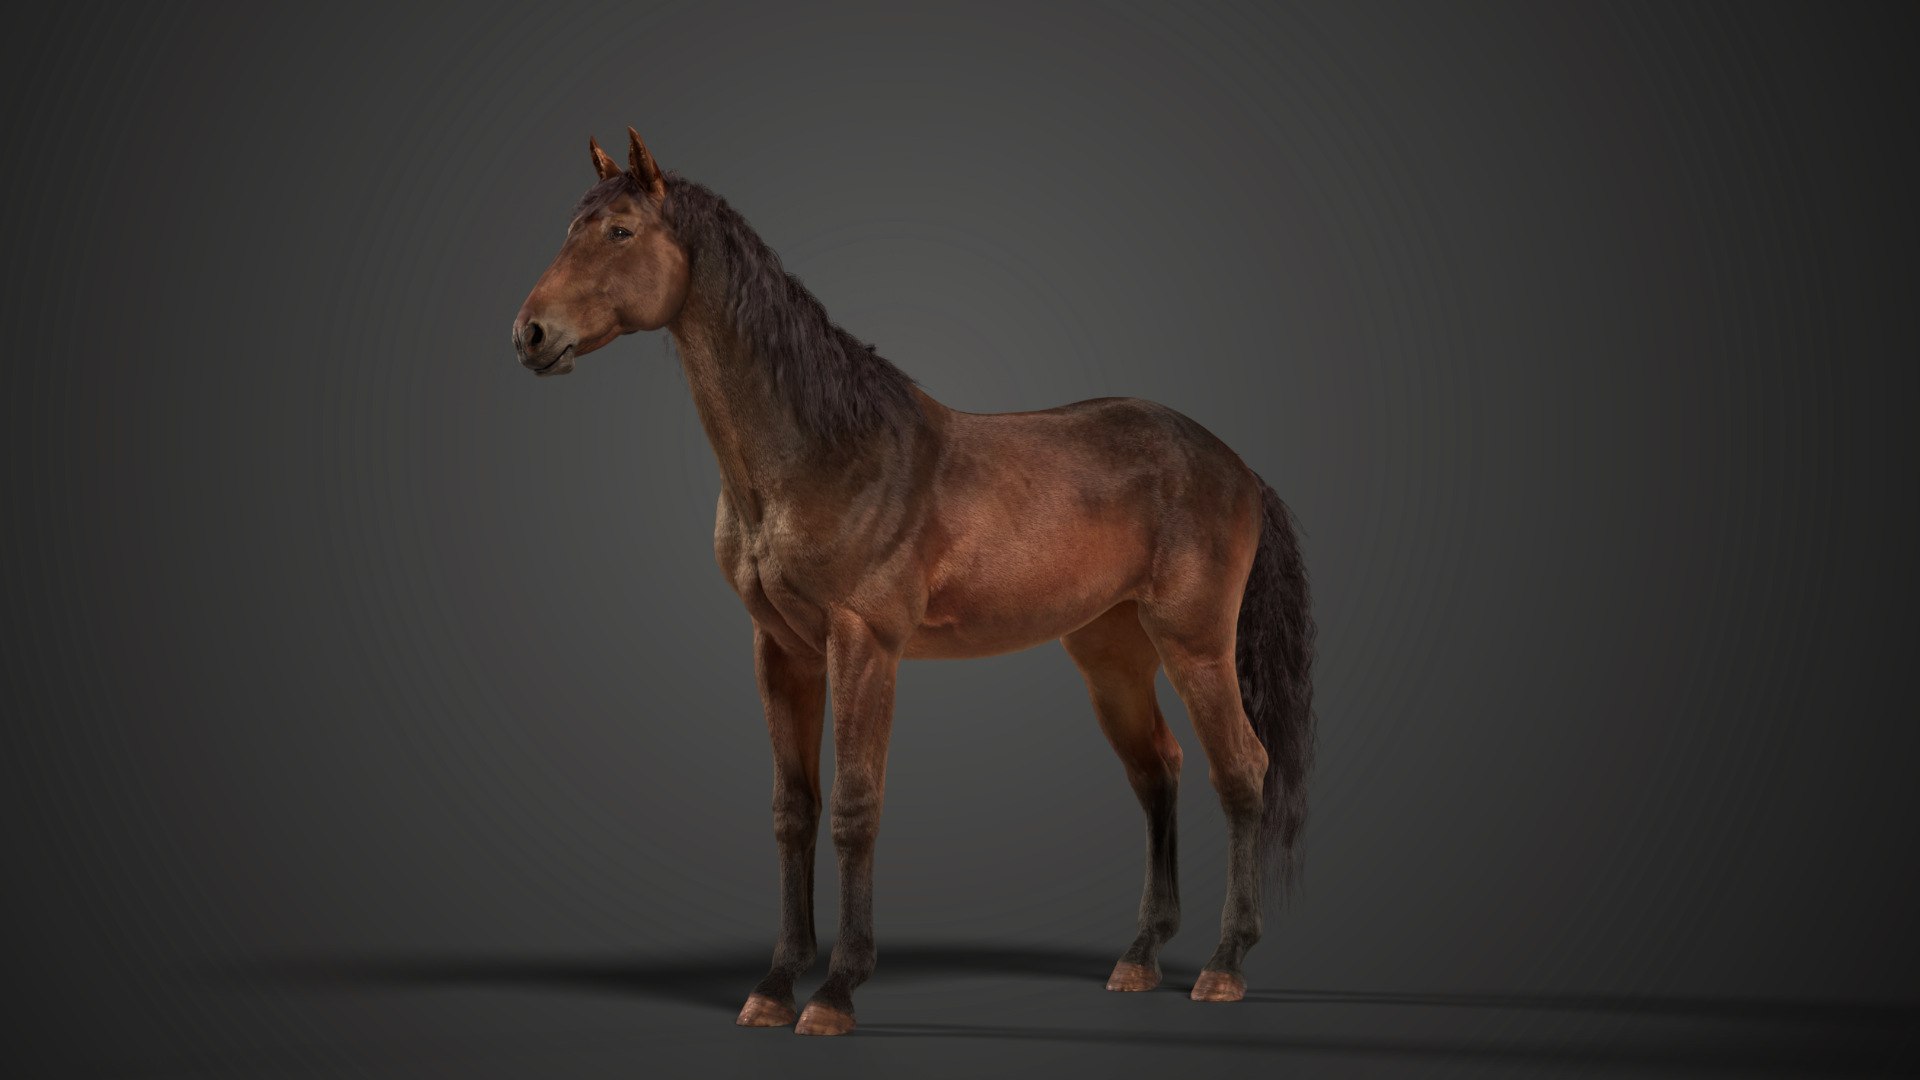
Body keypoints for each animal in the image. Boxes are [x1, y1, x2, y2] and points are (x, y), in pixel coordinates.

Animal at [511, 127, 1316, 1036]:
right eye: (572, 228)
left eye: (619, 233)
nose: (530, 333)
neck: (821, 451)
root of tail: (1236, 465)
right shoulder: (779, 651)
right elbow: (794, 811)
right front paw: (775, 984)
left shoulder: (865, 646)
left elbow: (856, 809)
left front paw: (835, 993)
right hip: (1111, 656)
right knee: (1159, 772)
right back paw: (1140, 958)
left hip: (1197, 645)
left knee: (1241, 771)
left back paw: (1224, 965)